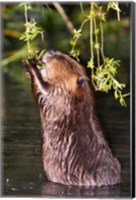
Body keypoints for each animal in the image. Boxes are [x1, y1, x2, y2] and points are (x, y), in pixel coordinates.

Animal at [24, 49, 120, 186]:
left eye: (64, 60)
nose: (50, 51)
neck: (77, 99)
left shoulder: (59, 96)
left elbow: (42, 92)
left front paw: (31, 64)